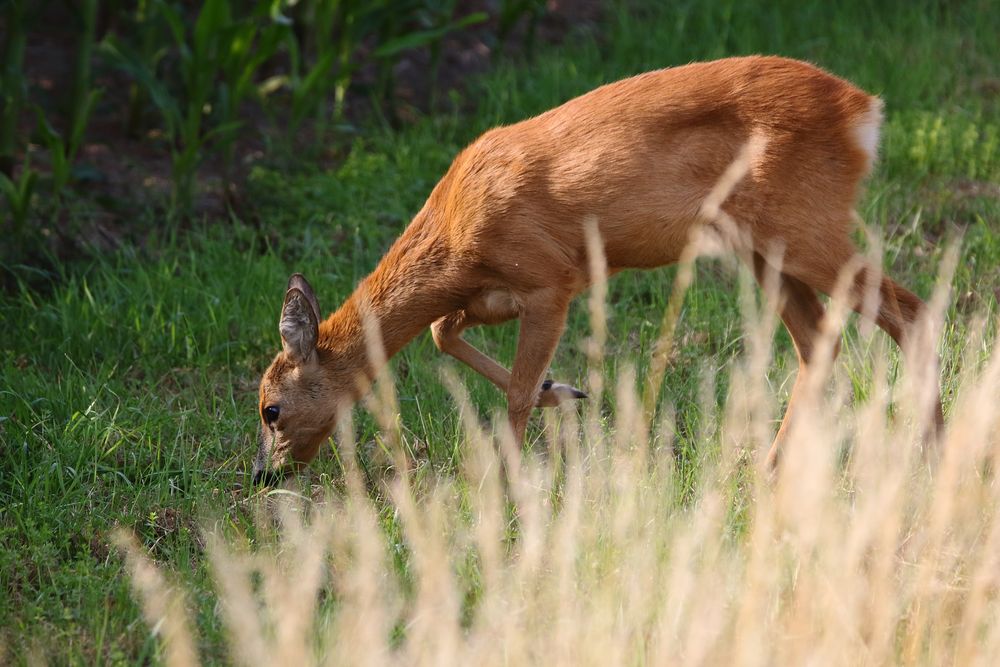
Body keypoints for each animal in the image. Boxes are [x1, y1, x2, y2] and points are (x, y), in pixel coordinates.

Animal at [250, 56, 944, 486]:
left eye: (270, 410)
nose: (262, 474)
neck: (453, 232)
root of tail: (865, 110)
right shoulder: (496, 288)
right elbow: (444, 333)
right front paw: (566, 392)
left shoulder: (551, 278)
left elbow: (514, 389)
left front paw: (504, 486)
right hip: (764, 244)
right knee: (818, 343)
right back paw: (769, 469)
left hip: (805, 224)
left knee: (910, 313)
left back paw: (930, 455)